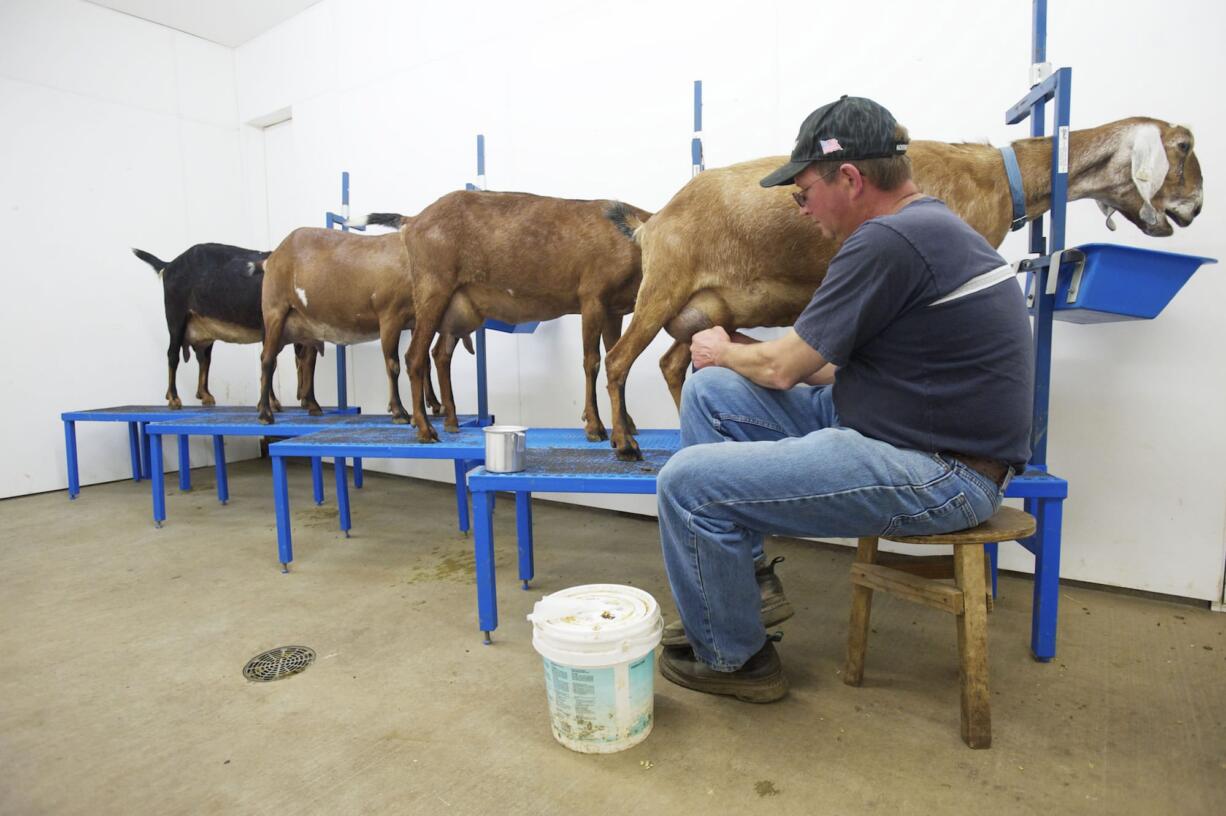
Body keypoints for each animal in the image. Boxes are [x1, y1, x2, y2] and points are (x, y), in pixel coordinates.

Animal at [387, 189, 652, 438]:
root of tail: (413, 221)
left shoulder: (614, 310)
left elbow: (617, 359)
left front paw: (626, 423)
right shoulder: (592, 298)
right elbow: (592, 361)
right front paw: (595, 426)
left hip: (455, 310)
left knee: (440, 354)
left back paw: (451, 421)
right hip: (433, 291)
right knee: (414, 356)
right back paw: (424, 428)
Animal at [605, 115, 1206, 458]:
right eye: (1183, 145)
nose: (1196, 208)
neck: (998, 176)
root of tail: (654, 222)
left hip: (706, 310)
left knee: (672, 364)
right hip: (663, 287)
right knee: (618, 359)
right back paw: (624, 441)